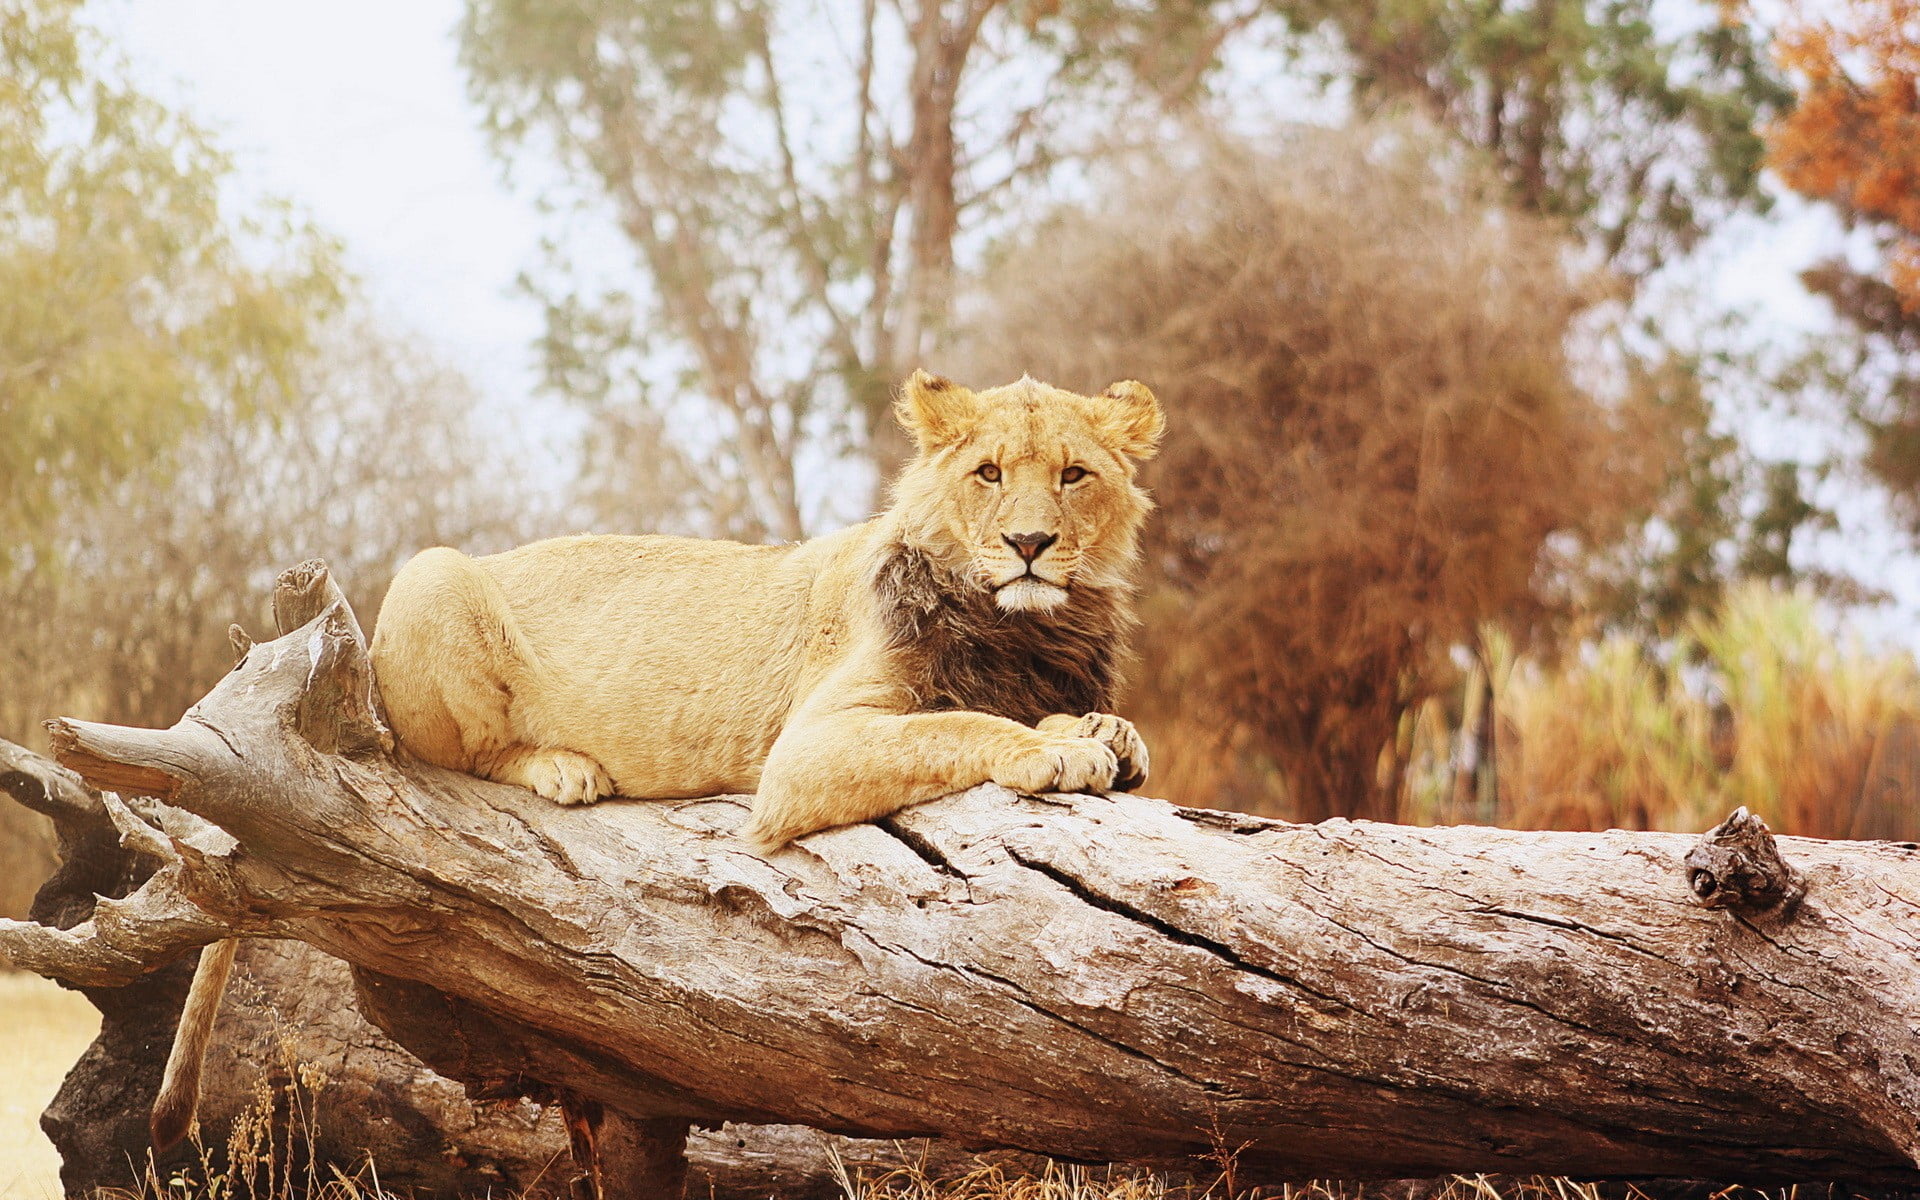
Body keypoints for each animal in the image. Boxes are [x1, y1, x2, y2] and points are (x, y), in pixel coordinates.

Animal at [368, 370, 1159, 848]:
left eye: (1074, 475)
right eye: (988, 473)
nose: (1029, 542)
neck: (1026, 629)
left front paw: (1104, 731)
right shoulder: (800, 754)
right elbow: (955, 724)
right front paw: (1057, 750)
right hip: (432, 572)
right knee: (470, 757)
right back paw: (565, 768)